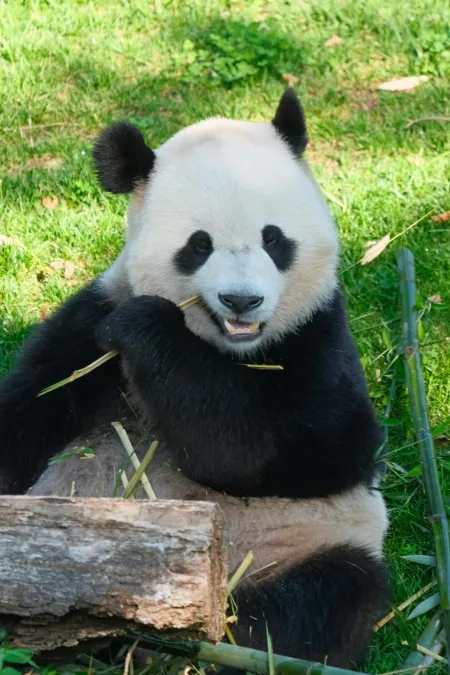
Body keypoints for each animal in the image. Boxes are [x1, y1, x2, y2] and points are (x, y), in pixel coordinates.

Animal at [0, 89, 388, 669]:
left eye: (273, 239)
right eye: (199, 245)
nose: (241, 300)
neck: (229, 348)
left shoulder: (317, 334)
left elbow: (310, 450)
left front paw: (147, 329)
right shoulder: (90, 321)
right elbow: (30, 410)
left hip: (314, 539)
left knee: (321, 603)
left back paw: (194, 641)